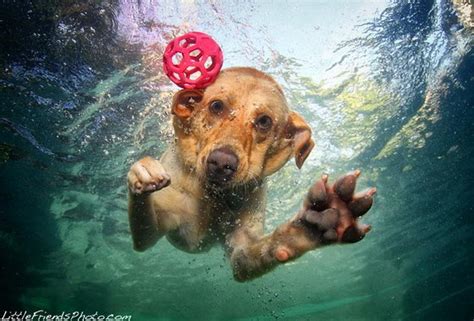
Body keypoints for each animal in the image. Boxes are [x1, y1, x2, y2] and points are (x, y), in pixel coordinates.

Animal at [127, 67, 378, 280]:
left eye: (264, 121)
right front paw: (141, 174)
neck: (213, 197)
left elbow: (267, 247)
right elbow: (143, 222)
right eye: (216, 106)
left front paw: (308, 230)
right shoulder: (152, 232)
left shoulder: (243, 251)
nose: (221, 163)